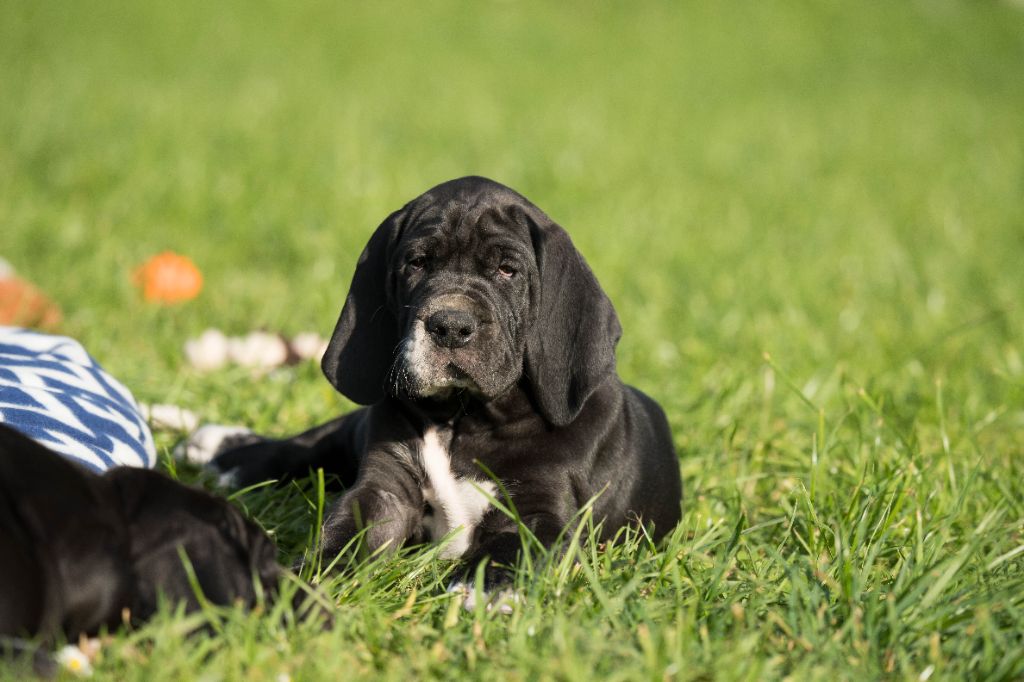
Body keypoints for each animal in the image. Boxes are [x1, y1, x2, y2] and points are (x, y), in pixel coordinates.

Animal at [211, 175, 684, 589]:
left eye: (508, 270)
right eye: (417, 263)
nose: (451, 326)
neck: (463, 416)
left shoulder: (541, 507)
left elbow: (509, 549)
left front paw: (480, 591)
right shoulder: (385, 489)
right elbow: (344, 534)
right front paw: (307, 578)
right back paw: (225, 453)